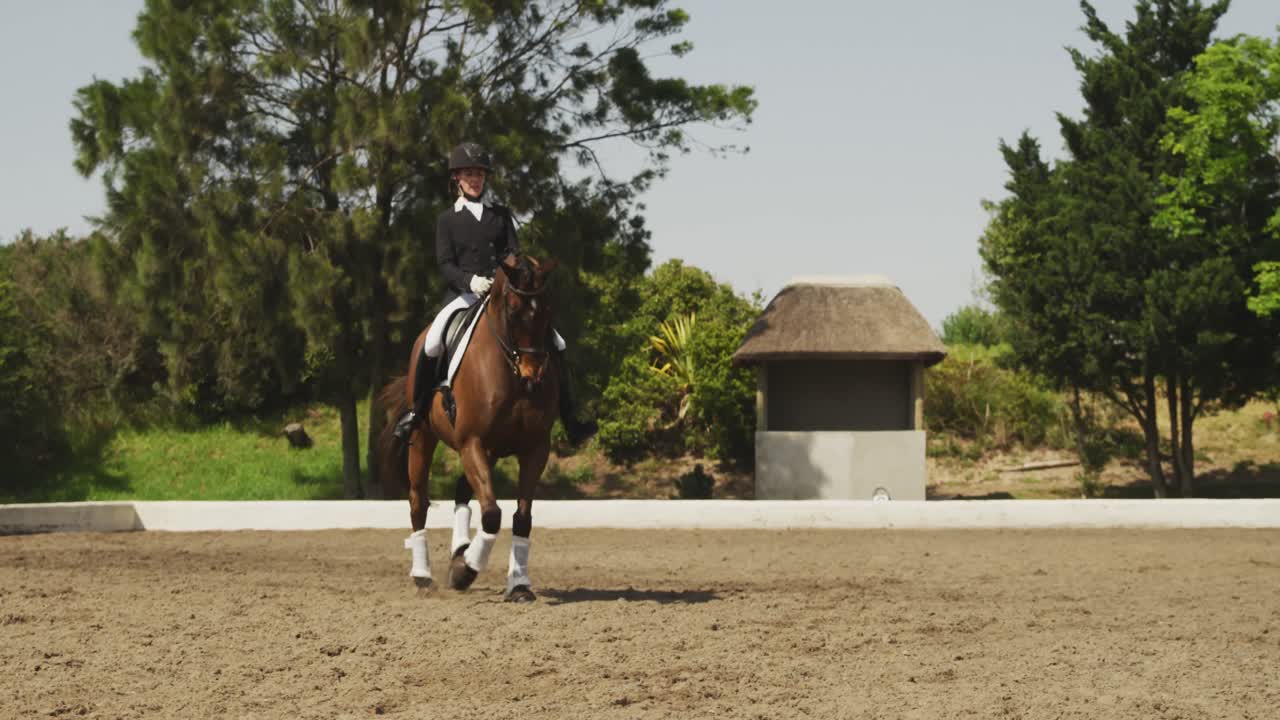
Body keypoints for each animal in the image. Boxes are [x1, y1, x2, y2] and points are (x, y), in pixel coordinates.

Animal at [378, 253, 560, 603]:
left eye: (547, 310)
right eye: (513, 310)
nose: (533, 376)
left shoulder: (534, 448)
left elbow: (521, 518)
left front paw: (518, 584)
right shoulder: (471, 441)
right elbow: (491, 515)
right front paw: (466, 572)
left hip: (488, 451)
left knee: (463, 489)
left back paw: (460, 550)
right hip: (424, 438)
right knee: (418, 500)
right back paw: (423, 575)